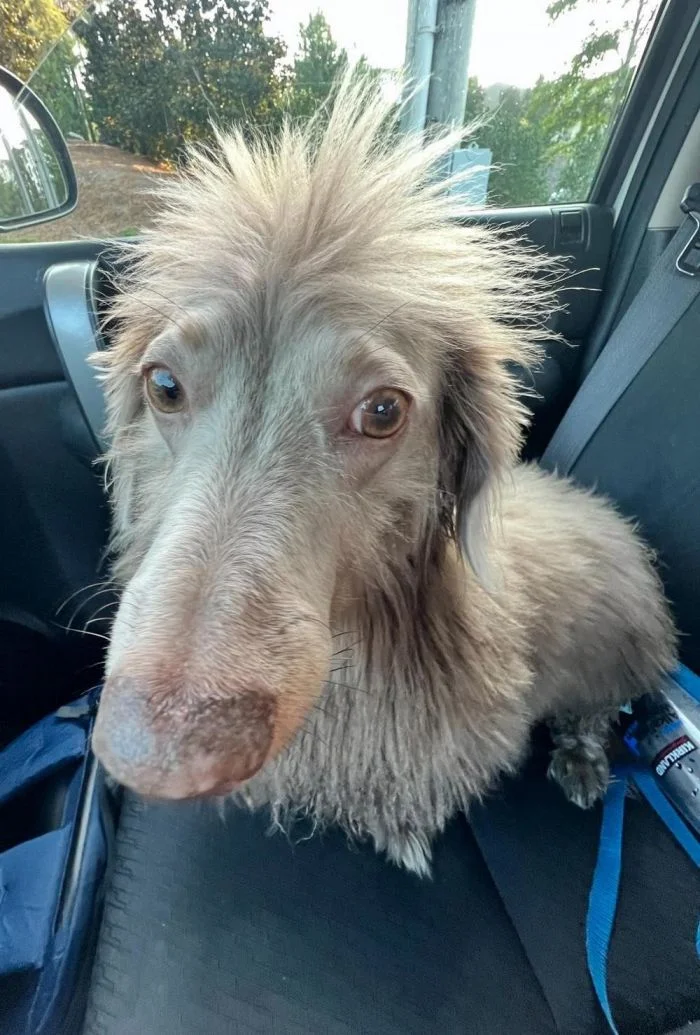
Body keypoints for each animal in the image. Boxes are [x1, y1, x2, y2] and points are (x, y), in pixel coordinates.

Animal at [92, 75, 677, 876]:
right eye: (164, 385)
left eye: (382, 410)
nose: (158, 754)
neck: (365, 638)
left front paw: (401, 831)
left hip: (618, 647)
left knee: (596, 710)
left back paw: (584, 760)